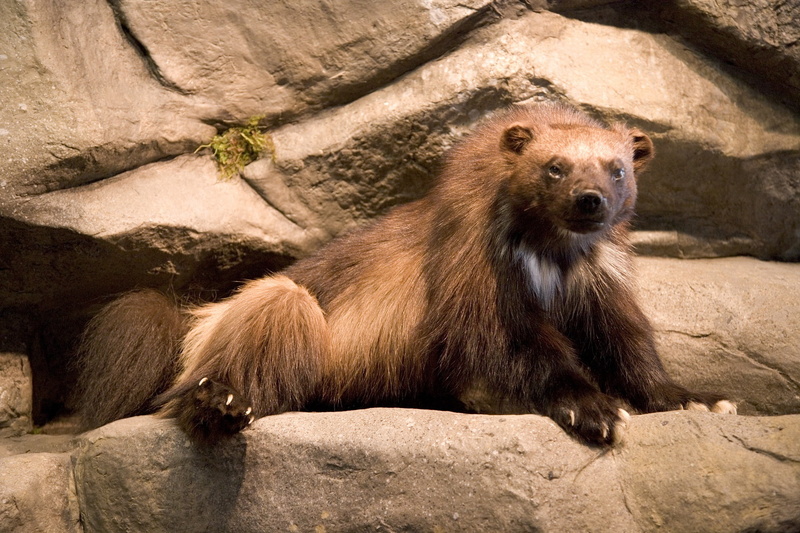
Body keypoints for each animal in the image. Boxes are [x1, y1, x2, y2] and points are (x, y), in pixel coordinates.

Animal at [74, 103, 736, 446]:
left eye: (617, 166)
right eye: (554, 166)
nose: (590, 200)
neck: (553, 255)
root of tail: (198, 315)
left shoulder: (600, 282)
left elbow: (628, 346)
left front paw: (697, 399)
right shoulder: (474, 272)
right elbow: (512, 346)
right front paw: (592, 408)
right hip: (277, 304)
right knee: (265, 322)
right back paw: (220, 404)